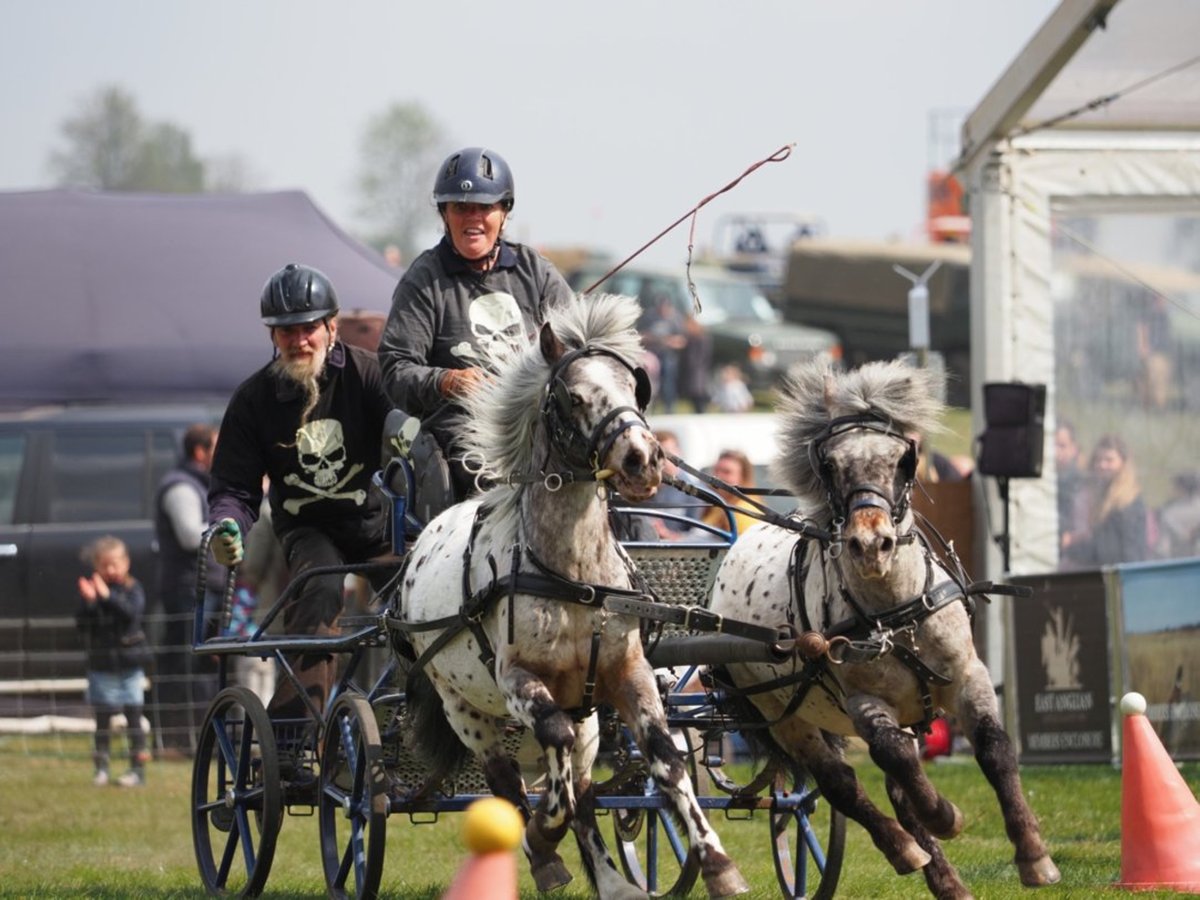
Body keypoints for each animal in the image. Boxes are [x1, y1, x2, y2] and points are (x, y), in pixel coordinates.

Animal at [391, 293, 748, 900]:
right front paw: (541, 835)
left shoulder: (627, 673)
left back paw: (611, 879)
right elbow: (548, 760)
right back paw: (545, 854)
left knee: (580, 786)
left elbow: (666, 760)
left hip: (588, 720)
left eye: (634, 388)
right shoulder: (517, 682)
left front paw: (717, 862)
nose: (642, 459)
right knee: (507, 779)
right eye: (574, 396)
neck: (575, 576)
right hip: (466, 708)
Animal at [707, 359, 1060, 899]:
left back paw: (947, 881)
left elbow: (995, 749)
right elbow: (895, 757)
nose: (871, 543)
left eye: (901, 459)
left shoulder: (969, 675)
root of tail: (731, 553)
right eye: (831, 464)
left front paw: (1034, 855)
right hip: (784, 714)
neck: (895, 613)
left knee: (895, 785)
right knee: (842, 782)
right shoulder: (864, 703)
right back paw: (905, 848)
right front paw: (946, 816)